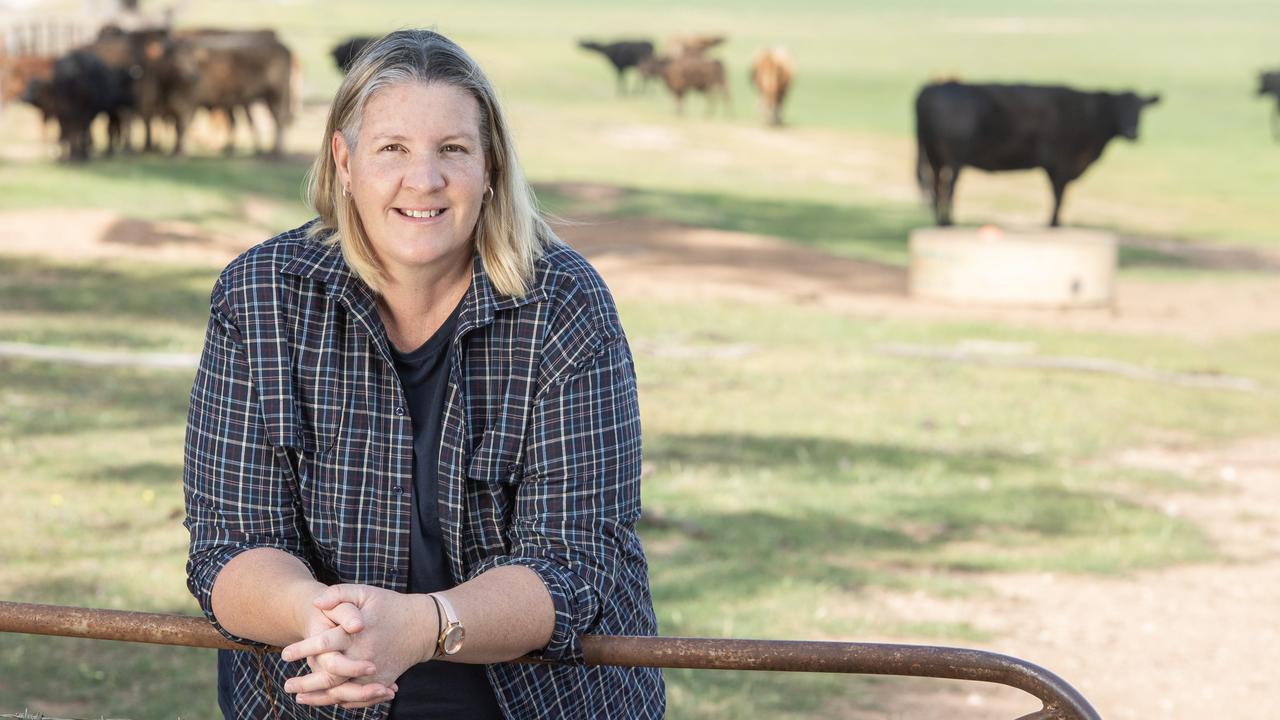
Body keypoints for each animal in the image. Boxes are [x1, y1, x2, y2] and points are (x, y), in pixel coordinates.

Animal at [916, 78, 1167, 225]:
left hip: (934, 154)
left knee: (936, 184)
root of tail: (930, 88)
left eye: (1140, 109)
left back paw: (941, 220)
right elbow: (1058, 197)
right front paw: (1053, 224)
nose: (1132, 133)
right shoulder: (1060, 164)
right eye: (1119, 107)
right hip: (953, 155)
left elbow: (1058, 197)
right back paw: (949, 221)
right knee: (948, 186)